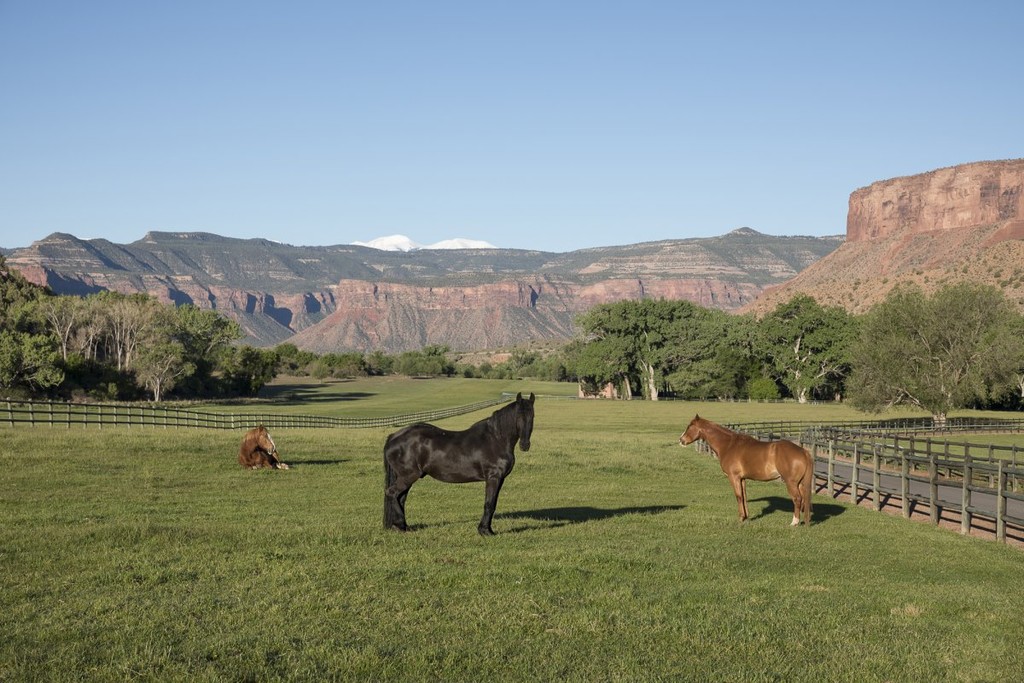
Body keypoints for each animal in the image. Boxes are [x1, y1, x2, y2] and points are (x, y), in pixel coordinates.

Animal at [383, 392, 535, 536]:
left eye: (532, 416)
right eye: (519, 416)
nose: (525, 445)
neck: (496, 439)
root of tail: (394, 436)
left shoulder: (500, 479)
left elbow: (493, 503)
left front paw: (487, 529)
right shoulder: (493, 478)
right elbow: (489, 504)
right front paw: (485, 531)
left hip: (406, 478)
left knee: (400, 498)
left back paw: (403, 526)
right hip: (408, 476)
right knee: (392, 493)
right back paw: (400, 525)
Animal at [679, 414, 812, 526]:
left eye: (689, 426)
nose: (681, 440)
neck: (728, 445)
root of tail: (803, 451)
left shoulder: (734, 477)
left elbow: (738, 496)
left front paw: (740, 518)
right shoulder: (742, 479)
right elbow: (744, 496)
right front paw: (746, 517)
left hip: (791, 483)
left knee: (797, 499)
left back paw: (794, 523)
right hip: (800, 483)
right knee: (803, 500)